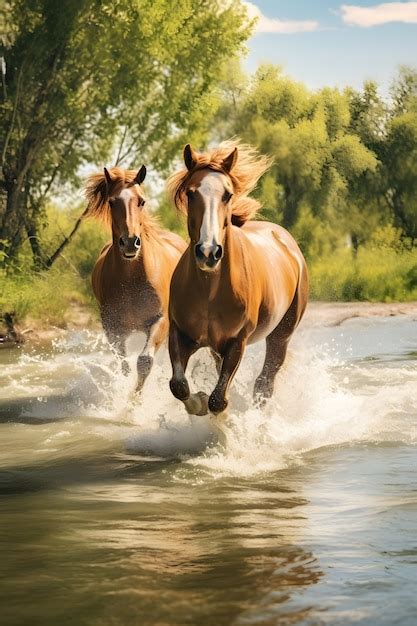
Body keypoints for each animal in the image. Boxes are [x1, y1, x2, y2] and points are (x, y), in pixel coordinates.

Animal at [84, 166, 185, 390]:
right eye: (112, 202)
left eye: (142, 201)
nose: (130, 242)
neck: (132, 280)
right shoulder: (113, 329)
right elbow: (125, 367)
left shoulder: (160, 320)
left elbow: (145, 361)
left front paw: (135, 398)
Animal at [167, 141, 308, 414]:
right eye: (191, 193)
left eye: (227, 195)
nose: (208, 252)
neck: (209, 290)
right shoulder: (180, 333)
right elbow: (179, 385)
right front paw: (198, 403)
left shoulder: (236, 342)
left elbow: (218, 399)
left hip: (281, 336)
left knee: (264, 384)